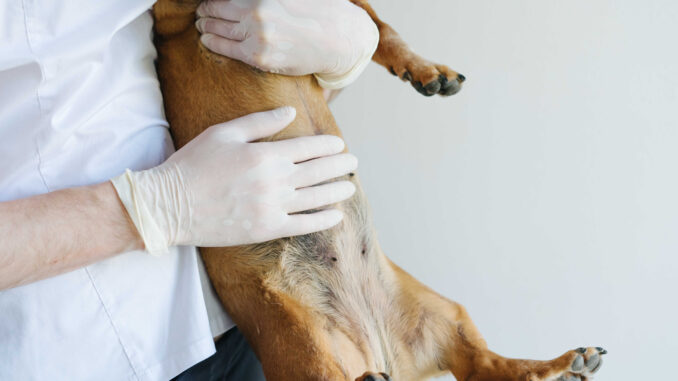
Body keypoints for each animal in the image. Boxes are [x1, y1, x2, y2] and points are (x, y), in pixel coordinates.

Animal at [153, 1, 604, 378]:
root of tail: (382, 352)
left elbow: (377, 24)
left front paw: (425, 69)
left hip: (445, 312)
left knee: (485, 364)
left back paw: (560, 365)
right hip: (300, 337)